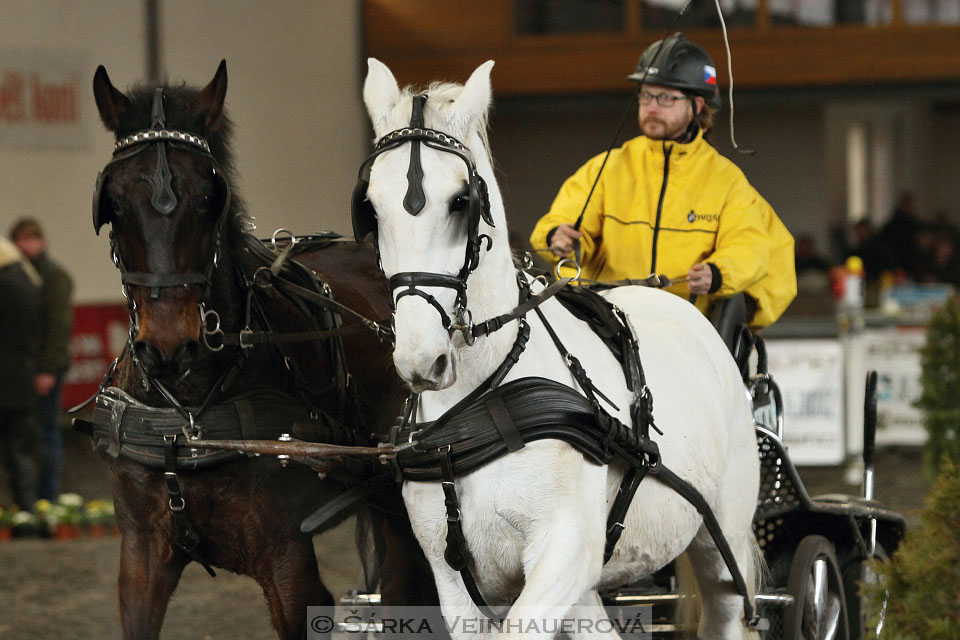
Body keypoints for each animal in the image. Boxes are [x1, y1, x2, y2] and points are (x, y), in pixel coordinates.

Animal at [88, 60, 434, 640]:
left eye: (209, 197)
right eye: (113, 201)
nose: (168, 346)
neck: (190, 417)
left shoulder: (286, 561)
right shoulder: (141, 556)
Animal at [356, 57, 760, 636]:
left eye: (461, 201)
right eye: (371, 207)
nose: (420, 359)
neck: (481, 404)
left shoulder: (564, 553)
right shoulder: (454, 578)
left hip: (720, 539)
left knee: (726, 606)